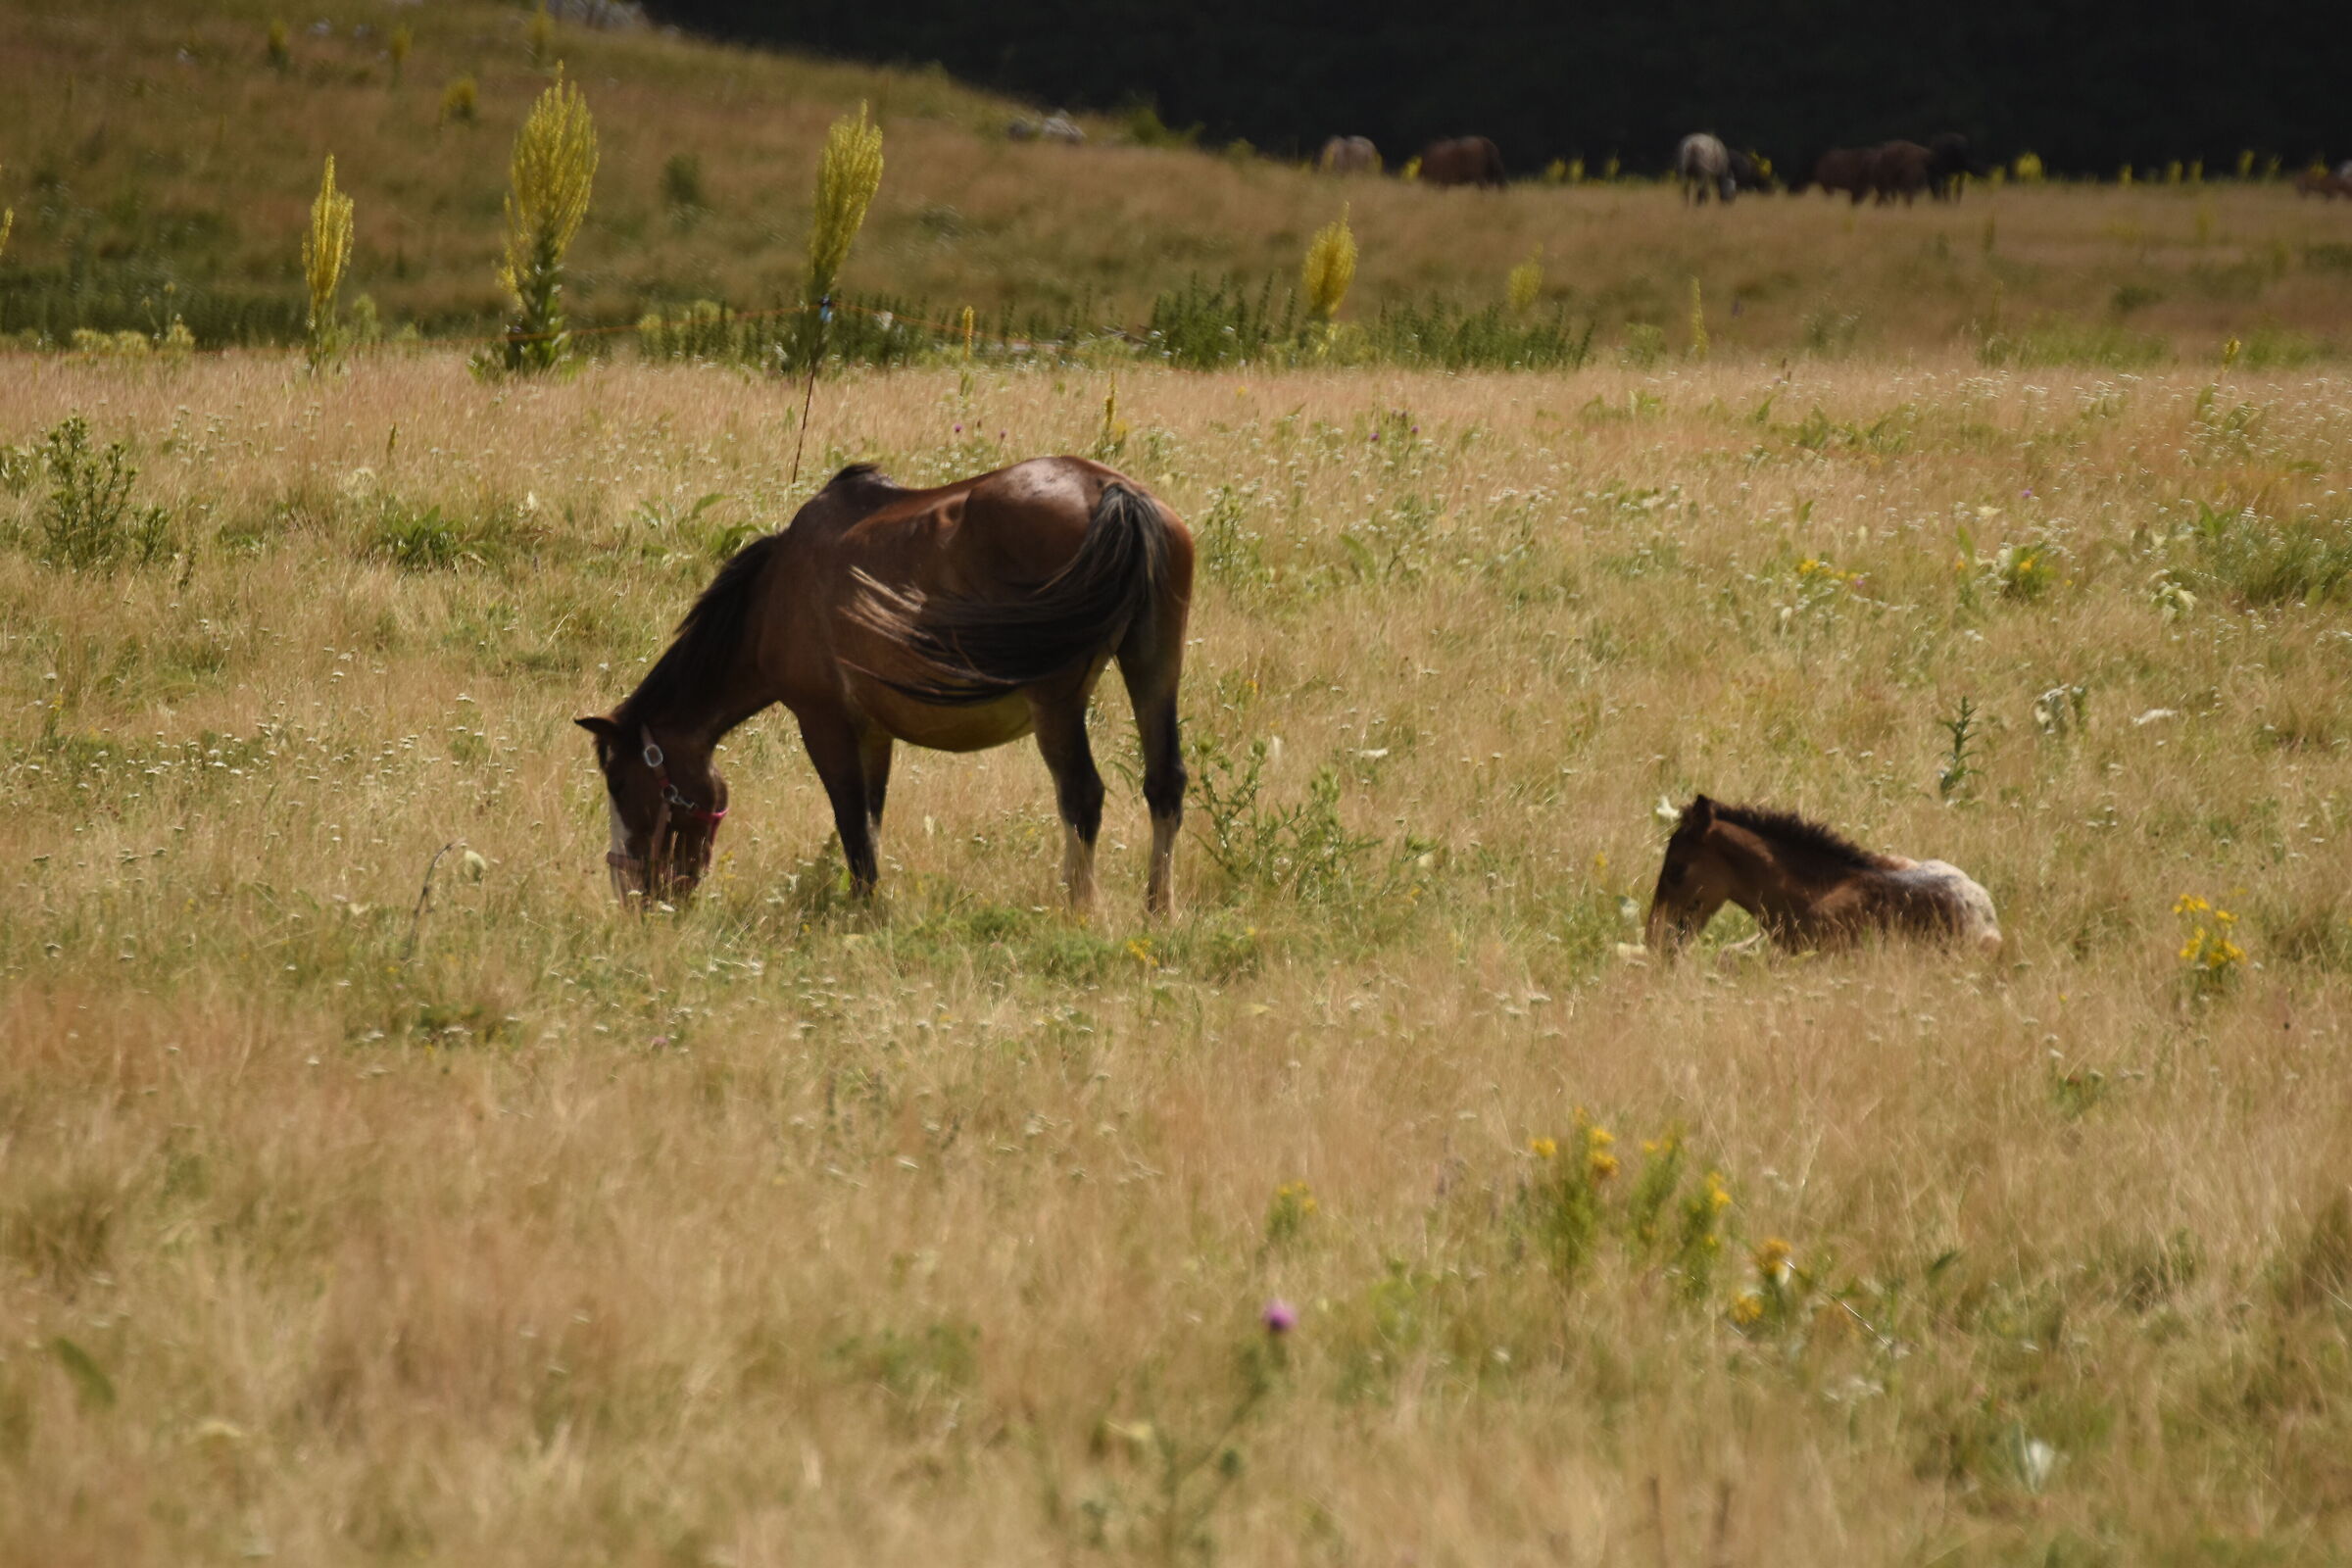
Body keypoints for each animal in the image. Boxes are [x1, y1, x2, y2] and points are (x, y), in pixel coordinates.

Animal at [576, 458, 1194, 914]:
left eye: (620, 782)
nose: (629, 895)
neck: (775, 595)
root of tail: (1112, 491)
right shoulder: (875, 733)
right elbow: (871, 822)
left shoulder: (824, 723)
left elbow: (852, 824)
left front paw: (865, 914)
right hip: (1154, 668)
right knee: (1164, 785)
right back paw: (1157, 911)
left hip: (1057, 702)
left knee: (1082, 796)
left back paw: (1080, 910)